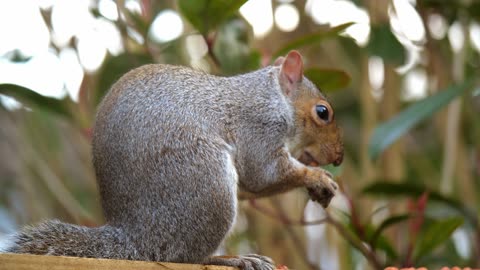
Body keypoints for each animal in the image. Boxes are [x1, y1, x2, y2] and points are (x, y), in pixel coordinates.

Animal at [1, 50, 344, 270]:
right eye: (322, 112)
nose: (339, 157)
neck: (273, 97)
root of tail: (137, 238)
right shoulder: (258, 126)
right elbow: (264, 174)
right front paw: (319, 177)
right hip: (206, 182)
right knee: (183, 256)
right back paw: (230, 258)